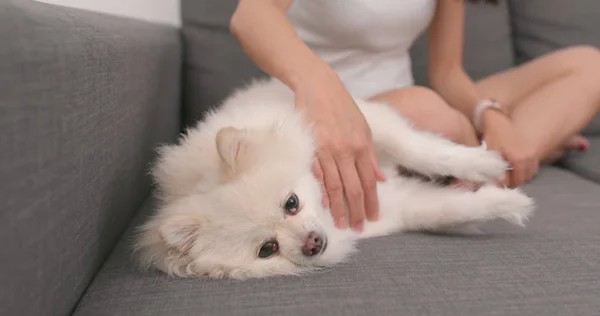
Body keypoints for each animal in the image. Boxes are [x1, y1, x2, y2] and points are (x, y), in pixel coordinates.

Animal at [135, 78, 536, 280]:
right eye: (268, 249)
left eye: (291, 203)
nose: (312, 243)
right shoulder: (394, 208)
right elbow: (445, 210)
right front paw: (509, 203)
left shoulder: (361, 128)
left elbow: (416, 148)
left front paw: (482, 164)